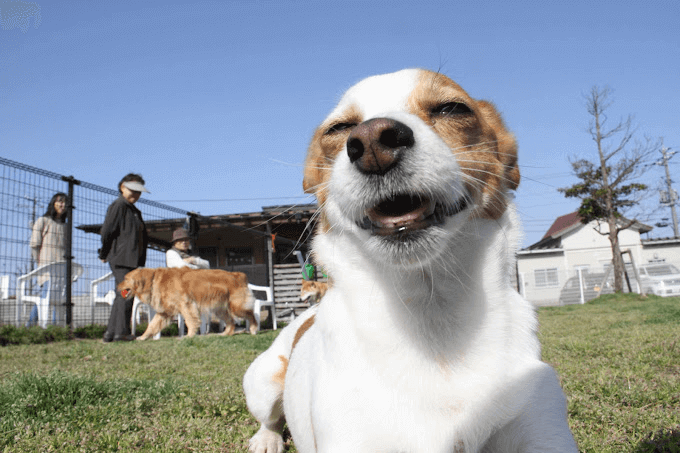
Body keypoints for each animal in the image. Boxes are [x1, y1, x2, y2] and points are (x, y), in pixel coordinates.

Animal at [117, 266, 258, 338]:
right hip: (220, 309)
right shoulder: (164, 313)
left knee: (251, 315)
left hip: (236, 307)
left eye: (125, 279)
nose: (117, 287)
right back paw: (224, 334)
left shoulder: (186, 305)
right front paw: (142, 337)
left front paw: (189, 336)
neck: (152, 280)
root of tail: (238, 275)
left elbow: (190, 321)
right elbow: (152, 326)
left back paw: (253, 329)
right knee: (231, 322)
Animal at [242, 69, 576, 450]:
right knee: (270, 417)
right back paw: (266, 439)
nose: (371, 141)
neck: (430, 311)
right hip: (263, 382)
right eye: (339, 129)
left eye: (452, 108)